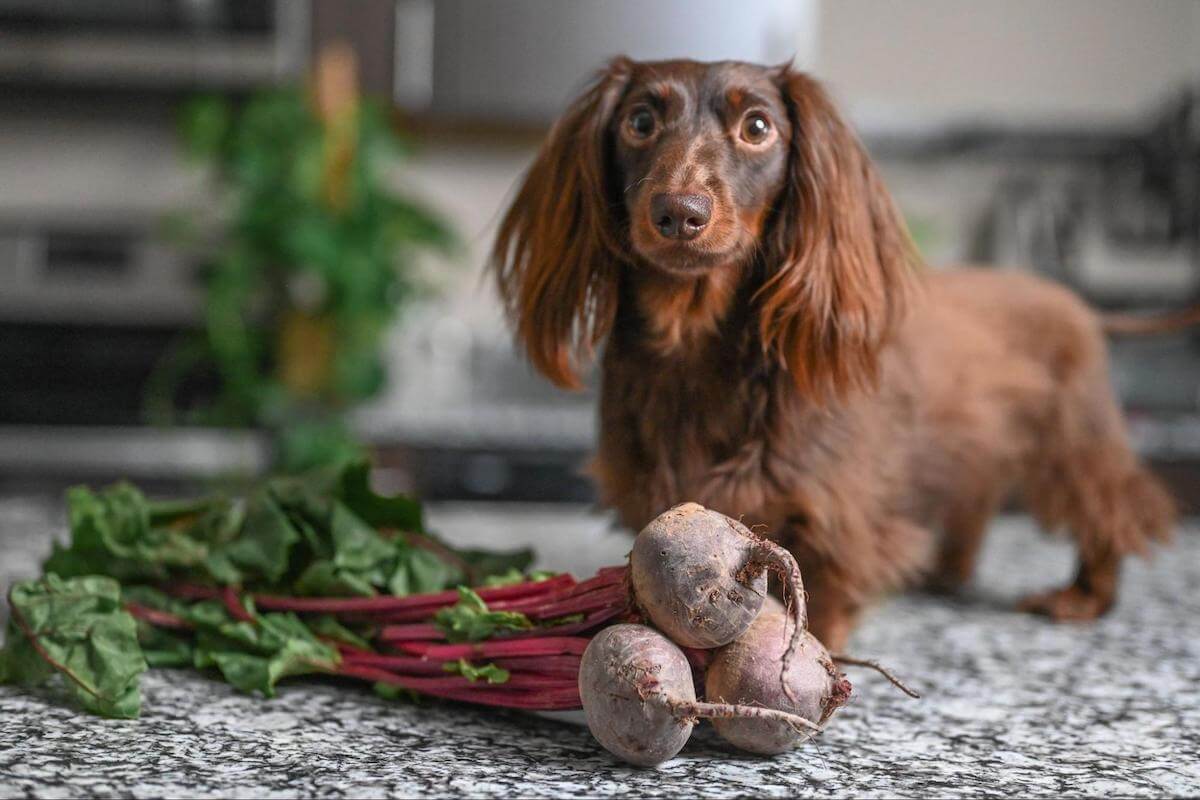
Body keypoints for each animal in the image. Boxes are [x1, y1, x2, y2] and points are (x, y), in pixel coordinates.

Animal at [487, 61, 1171, 652]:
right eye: (639, 120)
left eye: (757, 126)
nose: (679, 213)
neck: (692, 344)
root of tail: (1079, 302)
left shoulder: (837, 503)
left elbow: (831, 575)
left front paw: (819, 642)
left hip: (1074, 442)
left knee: (1112, 510)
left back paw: (1083, 596)